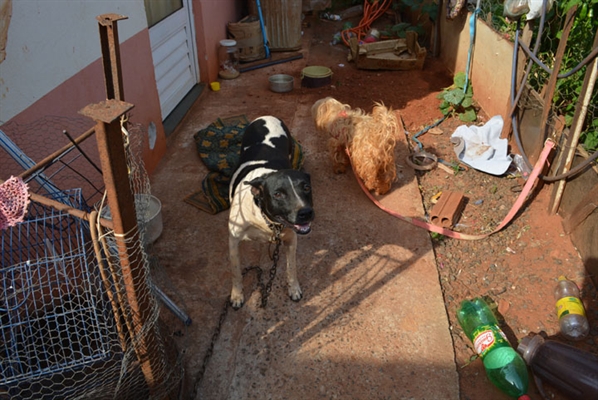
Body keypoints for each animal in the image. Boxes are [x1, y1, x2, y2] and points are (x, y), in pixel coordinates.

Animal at [227, 115, 316, 310]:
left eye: (306, 187)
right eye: (278, 194)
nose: (306, 213)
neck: (266, 221)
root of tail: (266, 117)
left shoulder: (291, 239)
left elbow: (291, 268)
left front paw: (294, 289)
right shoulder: (233, 241)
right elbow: (236, 272)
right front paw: (236, 295)